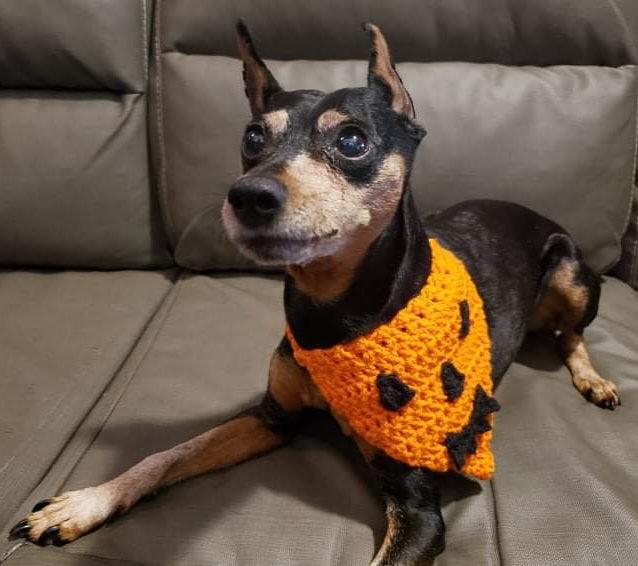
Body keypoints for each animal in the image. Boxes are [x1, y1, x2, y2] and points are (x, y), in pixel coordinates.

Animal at [7, 20, 624, 564]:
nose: (247, 196)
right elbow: (169, 453)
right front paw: (85, 503)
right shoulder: (272, 418)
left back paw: (594, 380)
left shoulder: (419, 509)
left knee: (571, 333)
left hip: (571, 273)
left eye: (352, 140)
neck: (332, 313)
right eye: (252, 137)